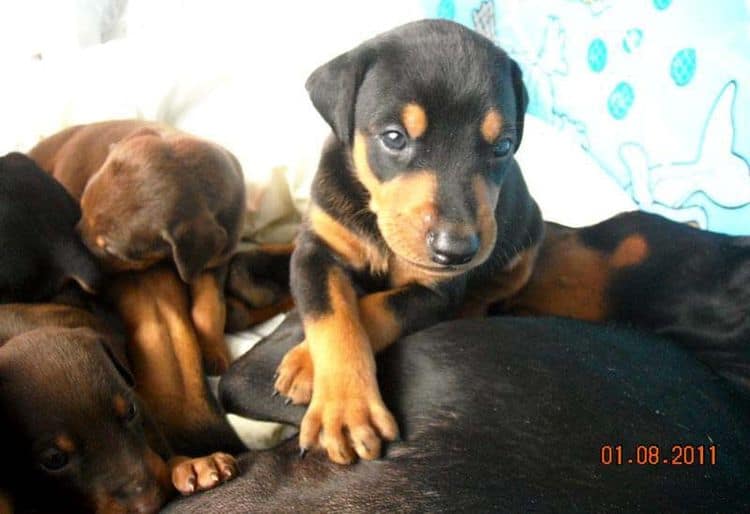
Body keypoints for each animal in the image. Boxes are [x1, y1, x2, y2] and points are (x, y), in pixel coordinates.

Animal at [28, 120, 247, 372]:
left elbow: (209, 306)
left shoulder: (216, 257)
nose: (74, 239)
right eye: (81, 207)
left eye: (110, 250)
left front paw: (215, 353)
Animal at [274, 19, 544, 464]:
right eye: (394, 137)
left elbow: (375, 310)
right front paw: (341, 407)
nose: (456, 251)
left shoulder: (435, 291)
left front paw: (320, 383)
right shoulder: (316, 249)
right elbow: (332, 314)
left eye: (502, 146)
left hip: (525, 245)